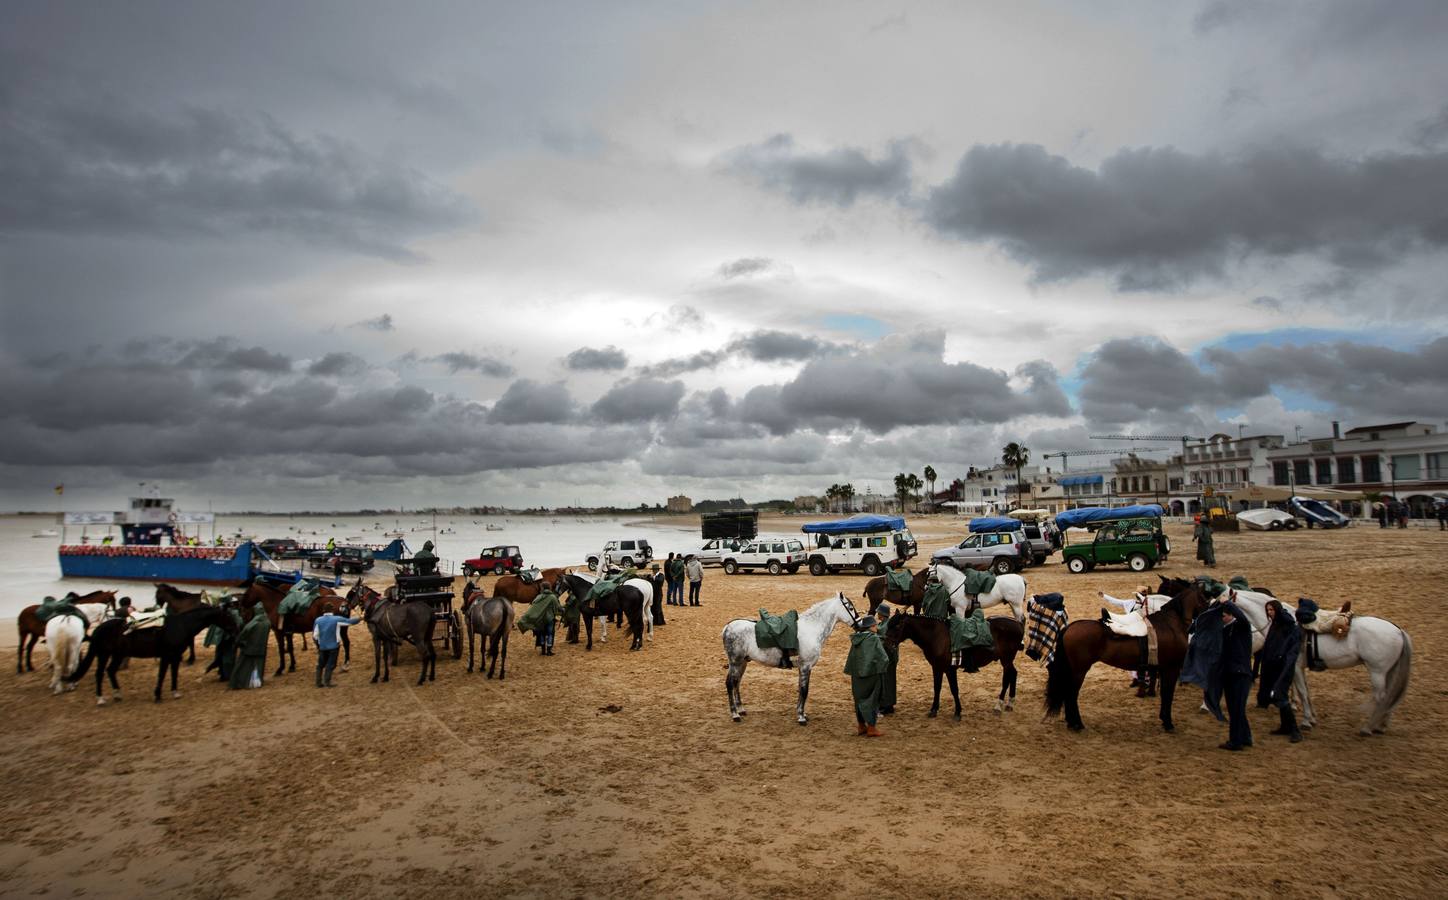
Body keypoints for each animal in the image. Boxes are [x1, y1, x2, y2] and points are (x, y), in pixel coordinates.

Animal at [66, 607, 237, 706]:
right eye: (228, 616)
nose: (236, 628)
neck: (181, 625)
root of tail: (98, 629)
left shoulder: (175, 656)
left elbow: (173, 674)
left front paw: (175, 692)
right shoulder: (167, 655)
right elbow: (162, 675)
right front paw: (158, 695)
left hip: (118, 654)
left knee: (110, 671)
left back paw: (117, 694)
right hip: (104, 654)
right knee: (100, 673)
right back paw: (101, 698)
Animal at [721, 596, 857, 729]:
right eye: (850, 607)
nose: (860, 623)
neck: (811, 629)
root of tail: (728, 627)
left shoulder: (803, 668)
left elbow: (801, 689)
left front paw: (802, 713)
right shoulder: (805, 666)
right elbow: (804, 690)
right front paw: (801, 717)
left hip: (742, 663)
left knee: (736, 682)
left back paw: (741, 709)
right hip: (735, 662)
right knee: (730, 684)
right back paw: (735, 715)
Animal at [874, 613, 1025, 720]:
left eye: (897, 626)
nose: (886, 644)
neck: (936, 635)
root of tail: (1018, 623)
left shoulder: (950, 669)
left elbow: (954, 689)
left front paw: (957, 712)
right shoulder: (937, 667)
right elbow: (937, 688)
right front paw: (934, 710)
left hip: (1006, 659)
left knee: (1007, 678)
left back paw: (999, 705)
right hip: (1007, 660)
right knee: (1013, 674)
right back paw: (1010, 703)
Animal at [1048, 581, 1216, 737]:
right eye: (1205, 598)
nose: (1210, 615)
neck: (1170, 625)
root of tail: (1070, 627)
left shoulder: (1163, 669)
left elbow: (1164, 693)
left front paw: (1164, 719)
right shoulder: (1171, 669)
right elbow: (1168, 695)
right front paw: (1168, 723)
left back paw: (1072, 723)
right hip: (1079, 671)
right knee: (1071, 694)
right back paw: (1077, 724)